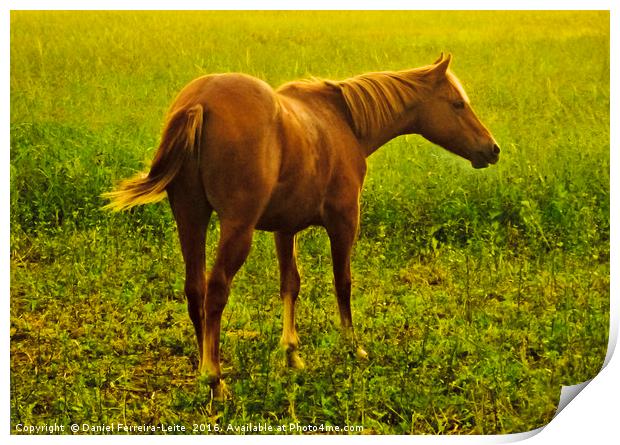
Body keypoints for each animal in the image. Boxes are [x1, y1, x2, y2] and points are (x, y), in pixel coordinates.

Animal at [103, 53, 498, 398]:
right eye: (457, 104)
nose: (492, 149)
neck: (344, 120)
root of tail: (199, 103)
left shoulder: (285, 229)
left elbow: (290, 284)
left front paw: (291, 352)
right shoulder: (344, 221)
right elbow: (343, 283)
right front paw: (352, 346)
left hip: (190, 217)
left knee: (195, 289)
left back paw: (205, 364)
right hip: (236, 228)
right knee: (215, 290)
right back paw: (214, 378)